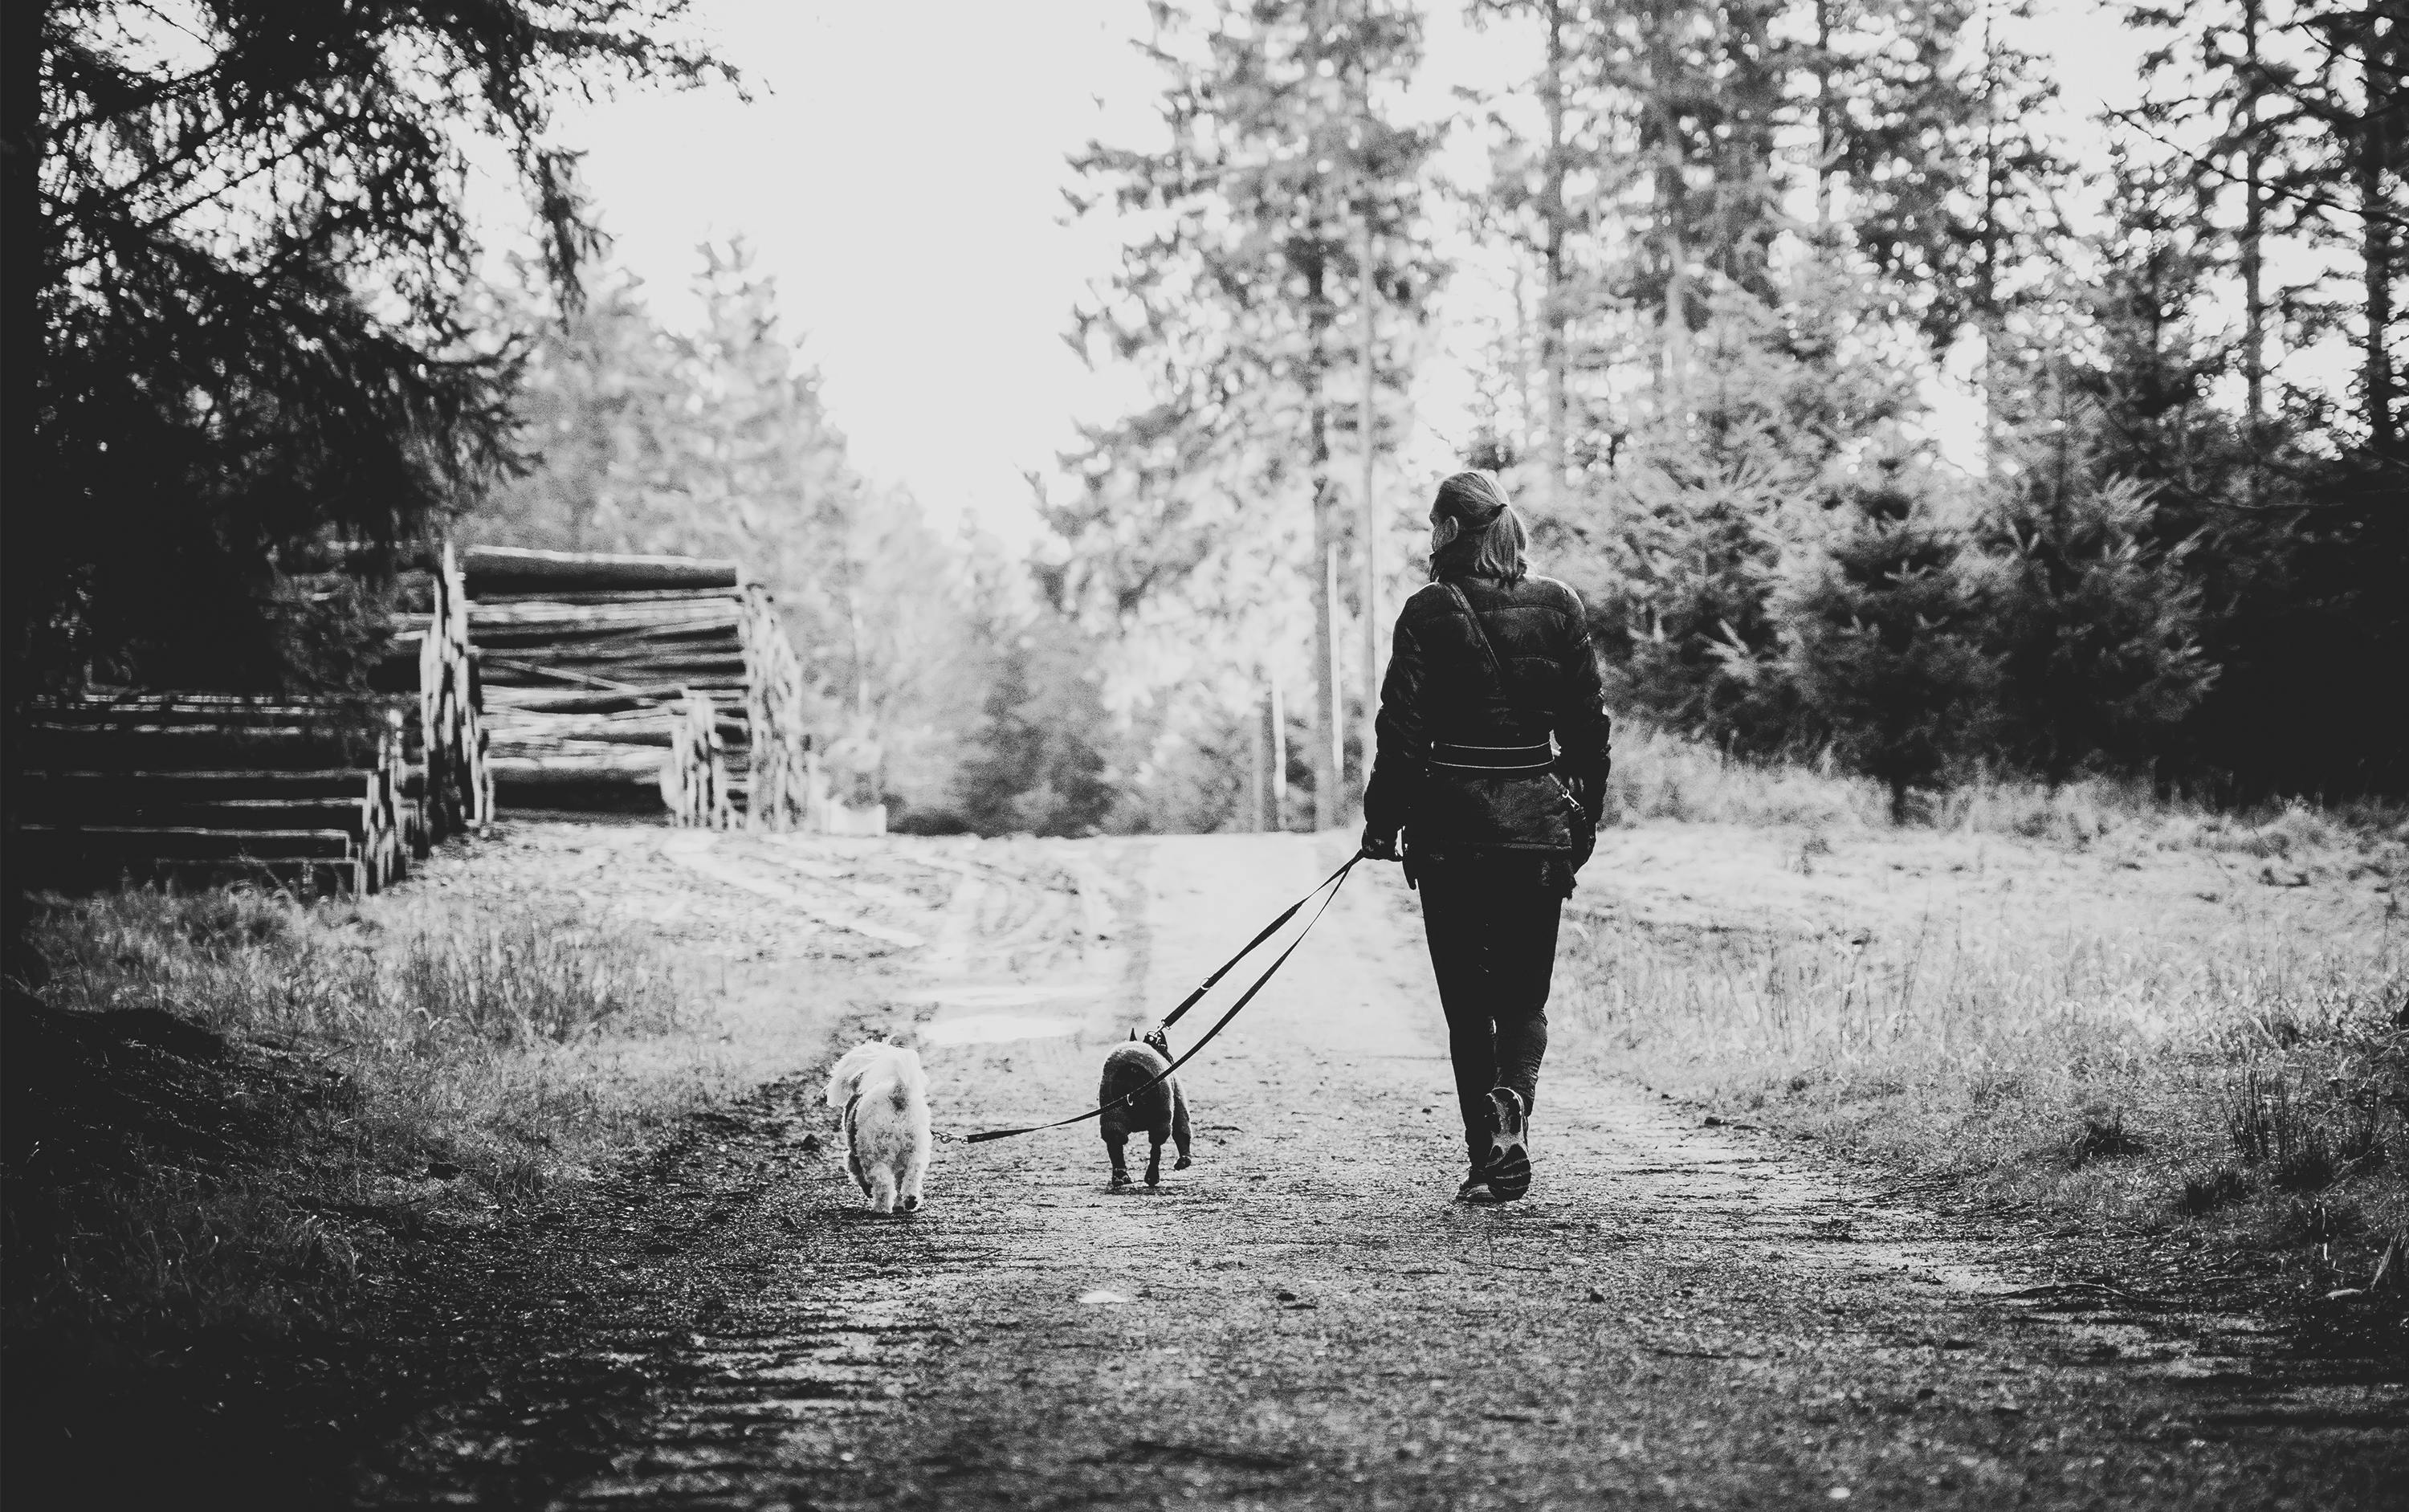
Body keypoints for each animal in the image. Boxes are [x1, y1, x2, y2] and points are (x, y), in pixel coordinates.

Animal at [834, 1040, 935, 1218]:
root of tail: (896, 1095)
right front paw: (900, 1203)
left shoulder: (854, 1157)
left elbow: (859, 1175)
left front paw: (868, 1190)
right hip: (915, 1149)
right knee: (911, 1176)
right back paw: (910, 1200)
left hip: (874, 1154)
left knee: (883, 1183)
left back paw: (880, 1208)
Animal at [1103, 1021, 1195, 1189]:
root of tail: (1131, 1070)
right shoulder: (1178, 1099)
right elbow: (1182, 1133)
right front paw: (1184, 1160)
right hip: (1161, 1112)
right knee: (1156, 1146)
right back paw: (1152, 1177)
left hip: (1112, 1112)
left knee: (1115, 1142)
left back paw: (1120, 1176)